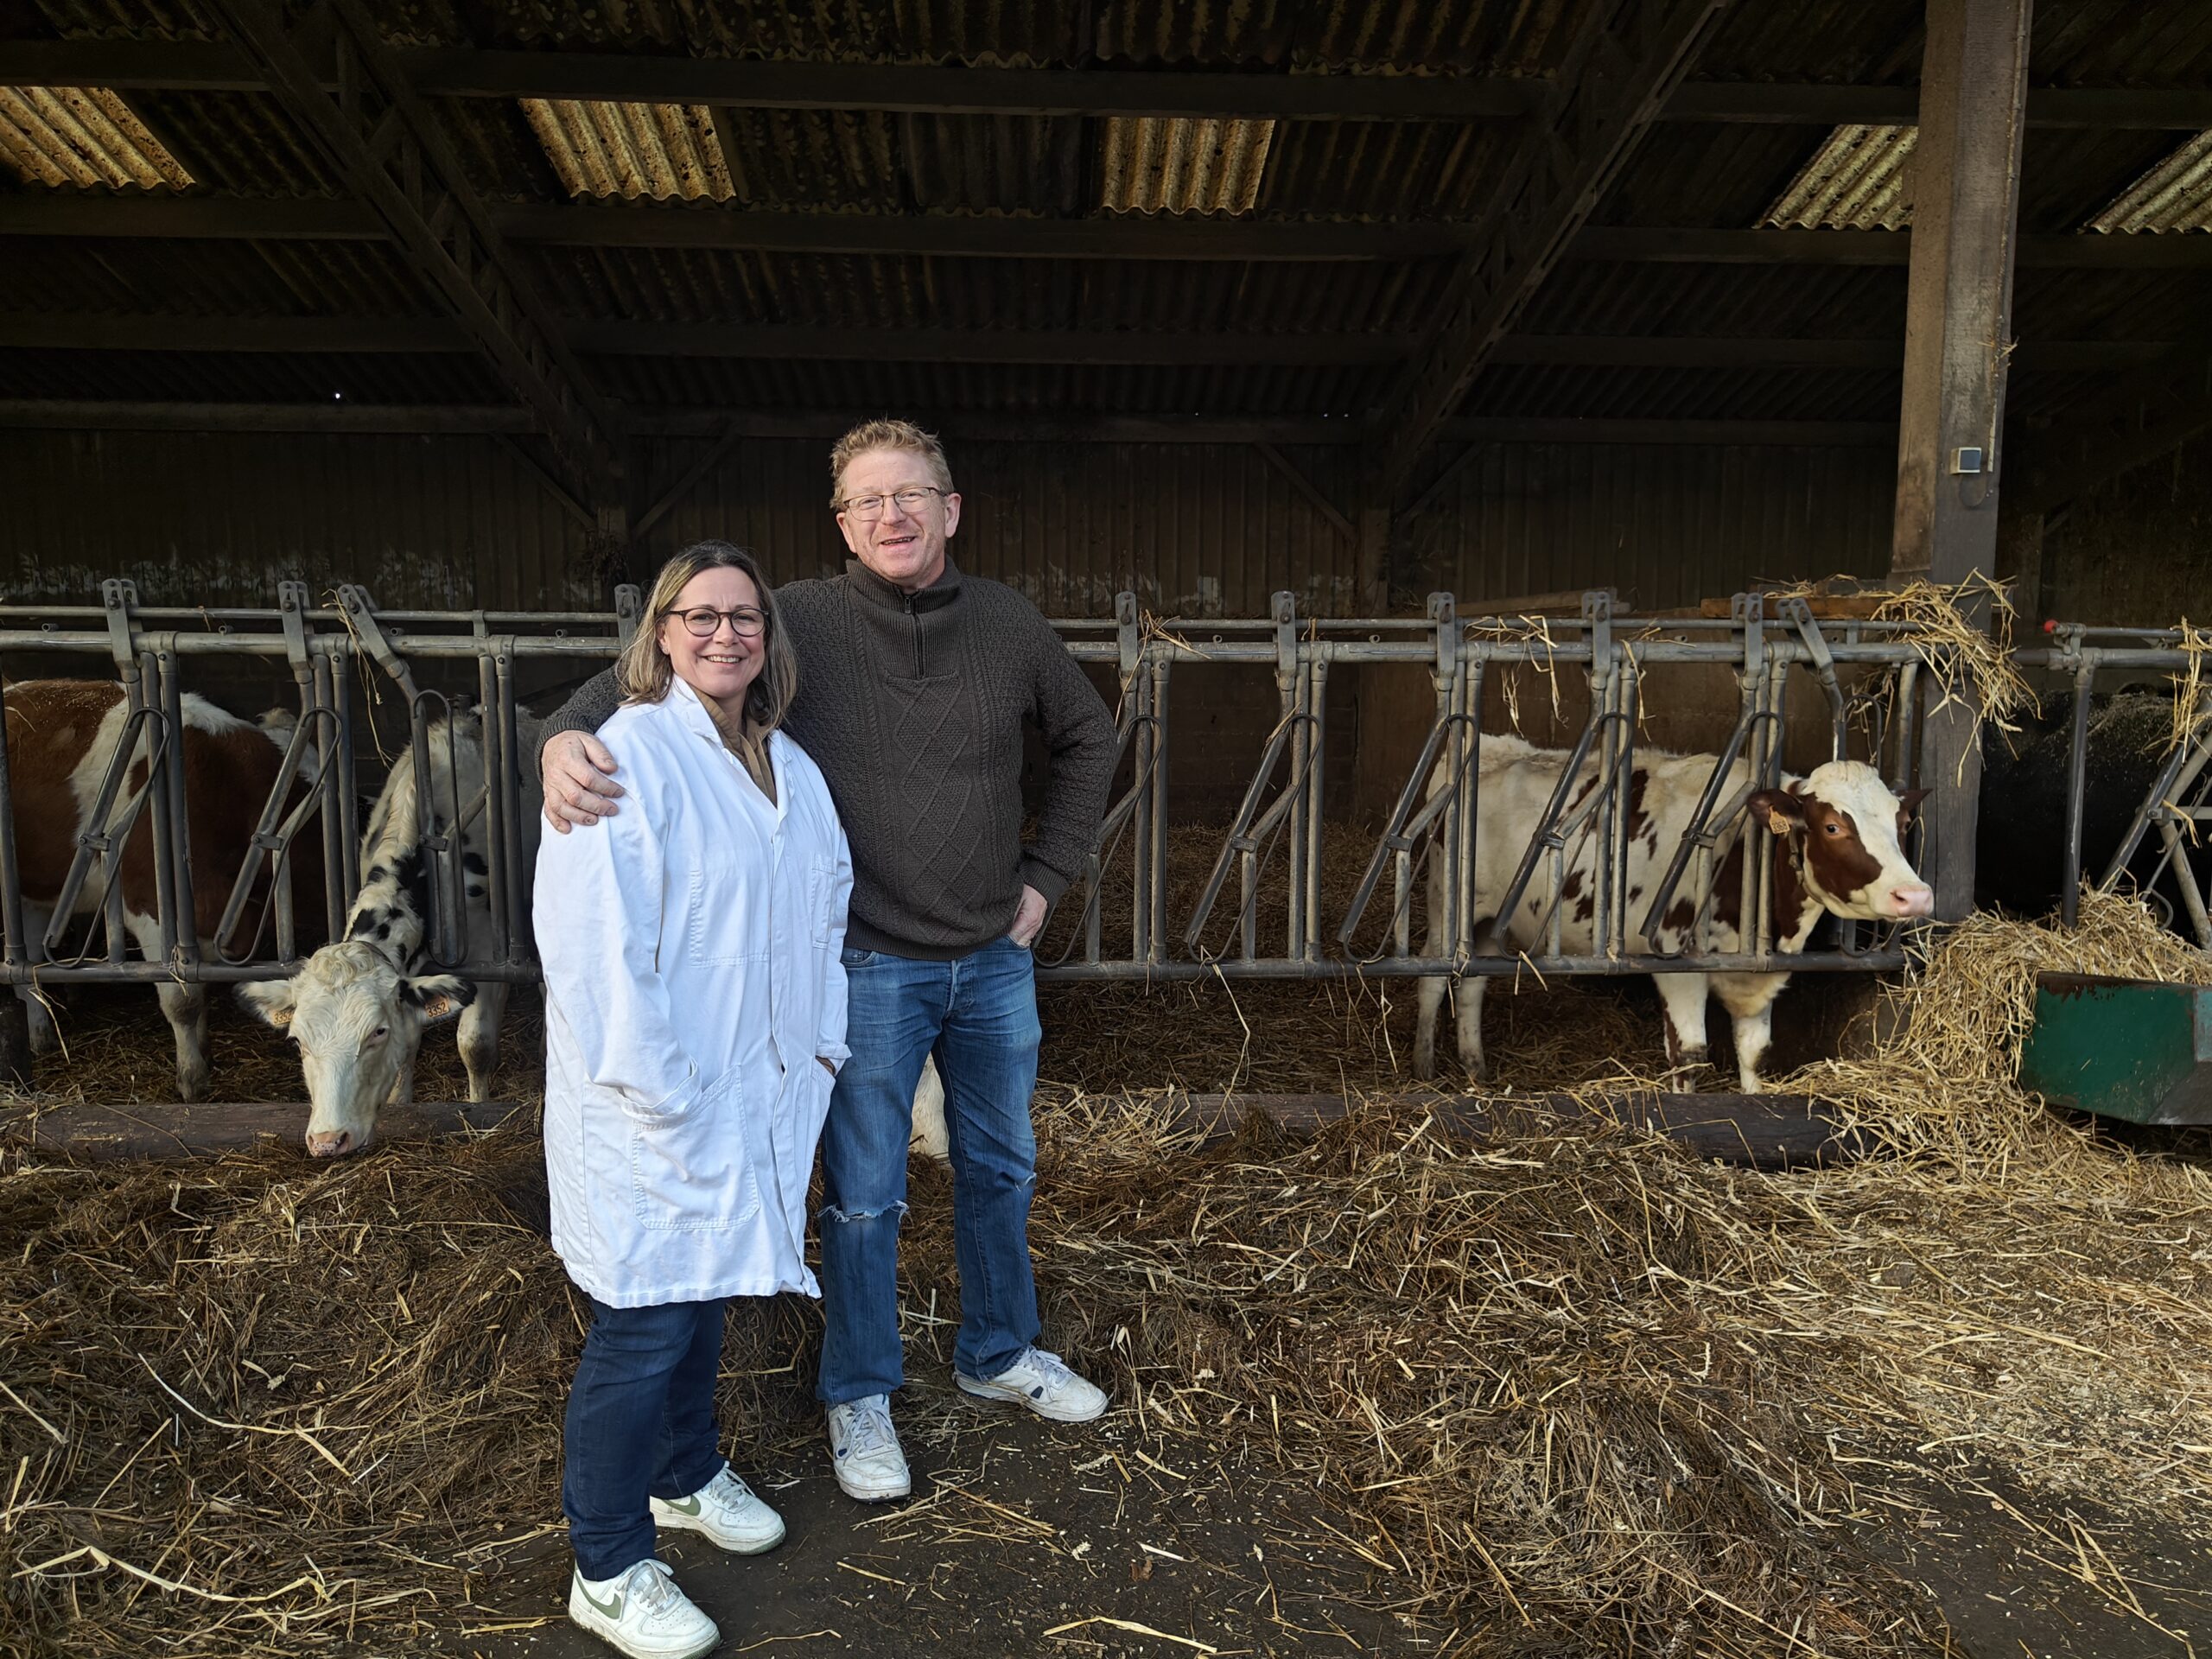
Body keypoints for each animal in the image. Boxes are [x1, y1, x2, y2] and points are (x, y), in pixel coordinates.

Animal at [2, 677, 322, 1106]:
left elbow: (201, 988)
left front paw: (204, 1051)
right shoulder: (151, 909)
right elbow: (182, 1000)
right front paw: (192, 1080)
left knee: (30, 963)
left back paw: (41, 1037)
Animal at [239, 708, 546, 1159]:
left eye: (376, 1033)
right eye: (297, 1041)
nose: (328, 1140)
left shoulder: (489, 956)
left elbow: (475, 1044)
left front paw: (479, 1108)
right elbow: (412, 1041)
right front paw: (403, 1103)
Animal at [1424, 739, 1929, 1092]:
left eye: (1902, 823)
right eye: (1832, 826)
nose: (1915, 896)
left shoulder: (1759, 970)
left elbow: (1754, 1053)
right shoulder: (1674, 962)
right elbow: (1689, 1054)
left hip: (1486, 926)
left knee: (1471, 984)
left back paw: (1476, 1073)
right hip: (1447, 907)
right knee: (1431, 979)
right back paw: (1421, 1069)